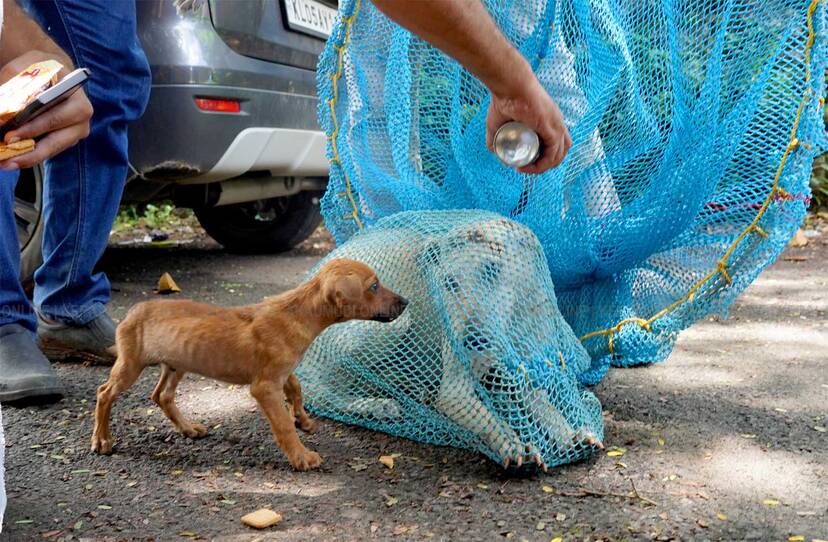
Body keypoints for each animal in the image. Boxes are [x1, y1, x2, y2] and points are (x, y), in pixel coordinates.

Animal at [90, 260, 408, 472]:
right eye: (374, 286)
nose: (405, 302)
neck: (298, 311)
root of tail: (133, 311)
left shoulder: (282, 372)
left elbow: (296, 388)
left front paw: (303, 419)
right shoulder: (264, 387)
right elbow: (283, 425)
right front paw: (302, 456)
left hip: (175, 364)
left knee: (161, 396)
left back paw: (188, 428)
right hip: (131, 365)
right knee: (104, 393)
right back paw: (102, 440)